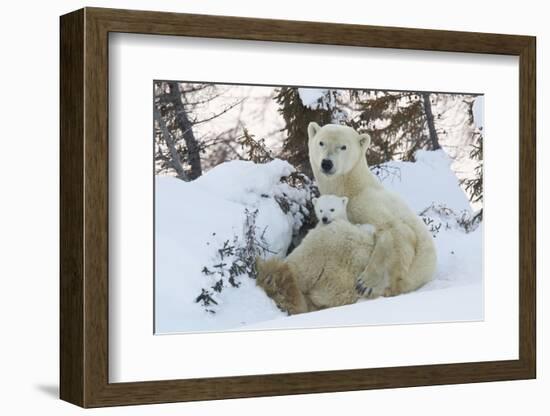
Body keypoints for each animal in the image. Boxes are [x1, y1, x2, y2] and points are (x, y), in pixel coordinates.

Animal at [308, 122, 438, 298]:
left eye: (343, 146)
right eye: (321, 142)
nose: (327, 163)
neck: (353, 187)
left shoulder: (367, 202)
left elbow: (397, 231)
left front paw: (365, 283)